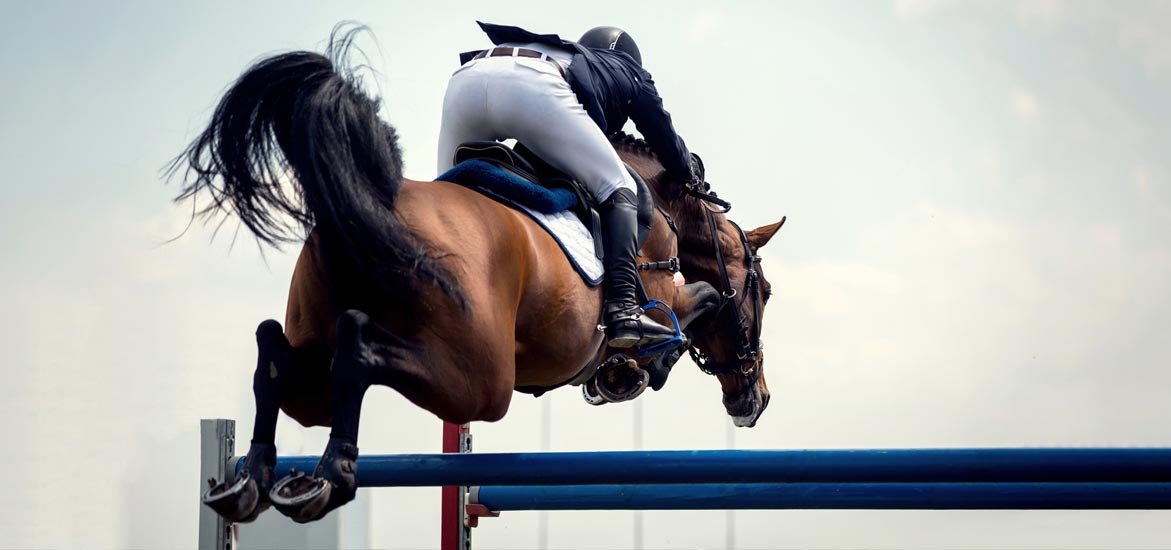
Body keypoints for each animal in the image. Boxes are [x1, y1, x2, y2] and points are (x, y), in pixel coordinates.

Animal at [173, 32, 784, 525]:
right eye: (764, 292)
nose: (755, 401)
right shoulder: (659, 291)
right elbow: (699, 302)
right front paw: (630, 370)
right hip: (480, 381)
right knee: (358, 348)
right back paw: (330, 476)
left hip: (323, 373)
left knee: (278, 359)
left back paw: (252, 480)